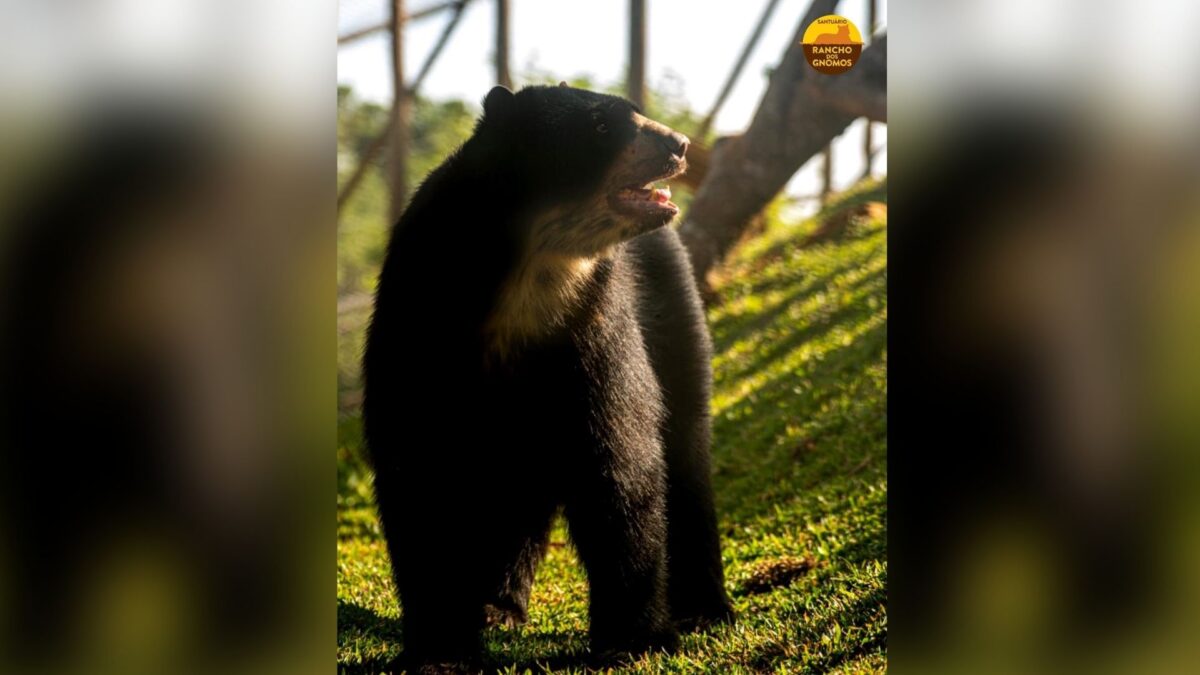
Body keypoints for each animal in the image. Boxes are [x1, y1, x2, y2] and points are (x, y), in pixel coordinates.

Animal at [361, 83, 734, 670]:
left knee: (687, 449)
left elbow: (620, 458)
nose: (678, 144)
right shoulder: (418, 316)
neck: (534, 272)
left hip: (676, 317)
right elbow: (417, 473)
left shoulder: (593, 322)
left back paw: (705, 609)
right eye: (602, 126)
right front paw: (439, 650)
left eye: (633, 111)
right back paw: (497, 604)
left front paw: (634, 640)